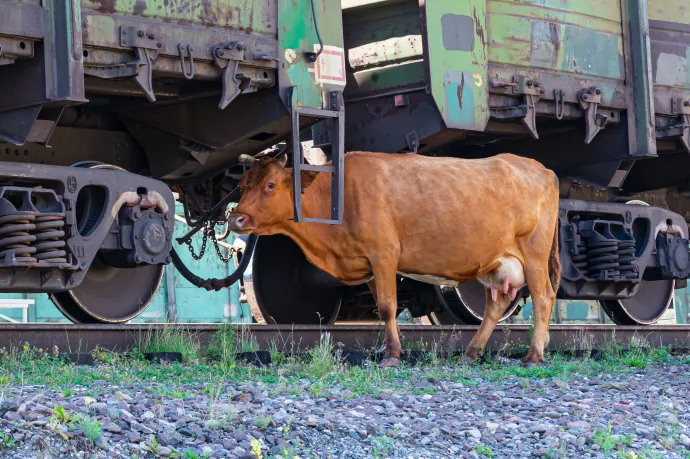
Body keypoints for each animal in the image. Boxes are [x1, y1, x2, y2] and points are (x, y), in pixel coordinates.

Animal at [226, 153, 560, 368]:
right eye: (242, 185)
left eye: (270, 185)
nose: (235, 218)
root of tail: (541, 168)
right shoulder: (370, 266)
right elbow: (381, 307)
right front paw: (386, 349)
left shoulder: (384, 254)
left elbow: (387, 307)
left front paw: (391, 356)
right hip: (496, 263)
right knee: (496, 305)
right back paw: (471, 352)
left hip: (533, 254)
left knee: (543, 298)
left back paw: (533, 356)